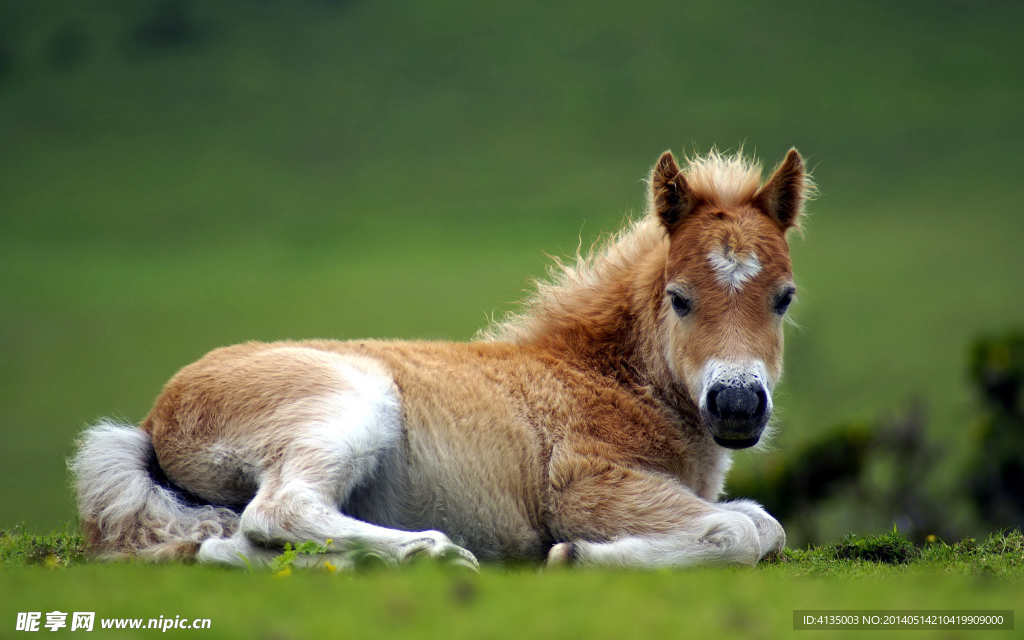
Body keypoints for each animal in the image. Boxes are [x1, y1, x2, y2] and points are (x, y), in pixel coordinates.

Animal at [71, 148, 811, 569]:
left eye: (784, 297)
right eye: (680, 298)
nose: (738, 405)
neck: (604, 377)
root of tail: (153, 422)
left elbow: (762, 524)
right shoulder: (590, 485)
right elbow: (742, 531)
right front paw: (576, 555)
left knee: (231, 547)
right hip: (349, 402)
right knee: (276, 512)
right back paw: (435, 552)